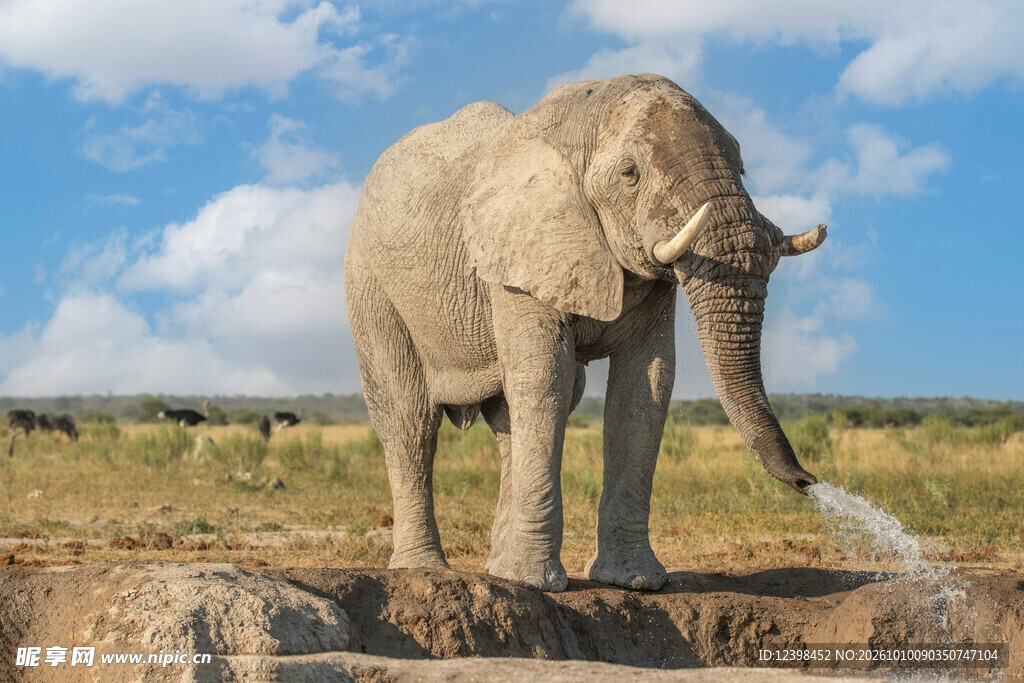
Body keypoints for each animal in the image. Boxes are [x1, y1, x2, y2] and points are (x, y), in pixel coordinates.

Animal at [344, 73, 825, 592]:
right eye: (630, 174)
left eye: (741, 165)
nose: (809, 482)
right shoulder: (521, 252)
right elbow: (545, 375)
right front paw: (539, 584)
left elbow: (647, 384)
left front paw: (635, 582)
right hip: (370, 286)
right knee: (409, 419)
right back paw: (426, 568)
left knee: (511, 418)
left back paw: (500, 567)